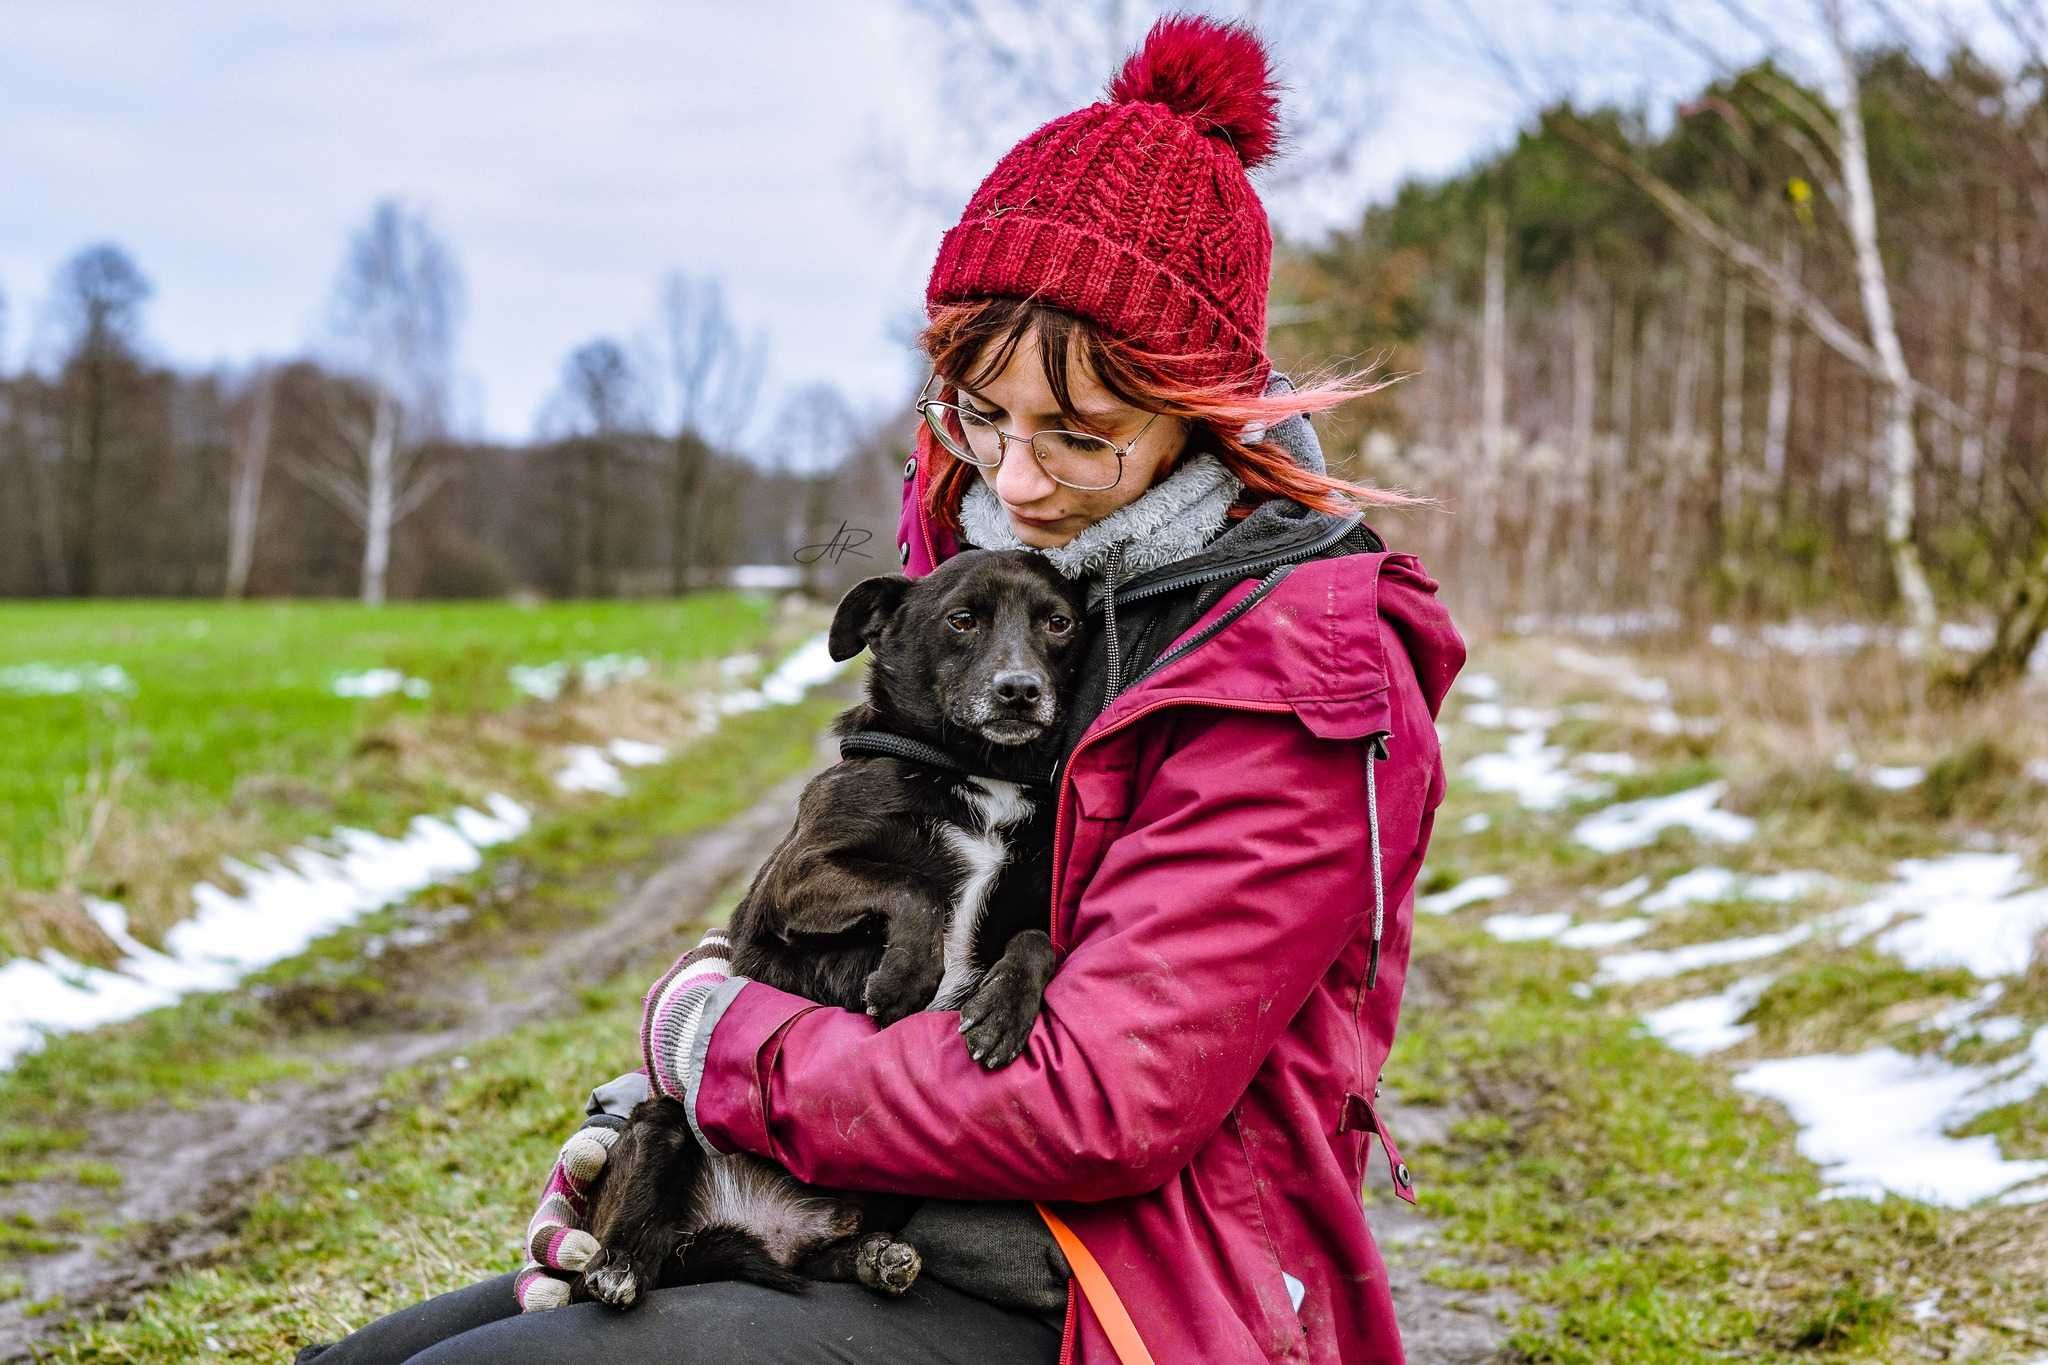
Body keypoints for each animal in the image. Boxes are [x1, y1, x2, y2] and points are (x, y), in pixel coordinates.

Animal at [573, 548, 1089, 1309]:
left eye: (1057, 622)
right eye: (962, 619)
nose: (1020, 690)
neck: (976, 771)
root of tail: (757, 1225)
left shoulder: (1027, 907)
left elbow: (1035, 940)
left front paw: (1000, 1008)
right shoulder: (797, 877)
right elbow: (914, 891)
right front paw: (907, 977)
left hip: (888, 1186)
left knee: (821, 1259)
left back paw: (876, 1257)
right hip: (662, 1121)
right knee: (635, 1234)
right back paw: (617, 1264)